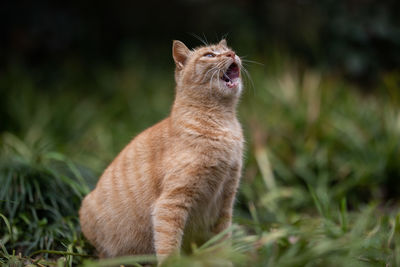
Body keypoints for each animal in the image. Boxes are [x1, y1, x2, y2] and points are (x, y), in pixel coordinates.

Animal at [78, 38, 244, 264]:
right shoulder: (171, 203)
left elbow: (222, 242)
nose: (232, 54)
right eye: (209, 55)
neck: (222, 122)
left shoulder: (226, 201)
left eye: (228, 50)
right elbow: (169, 245)